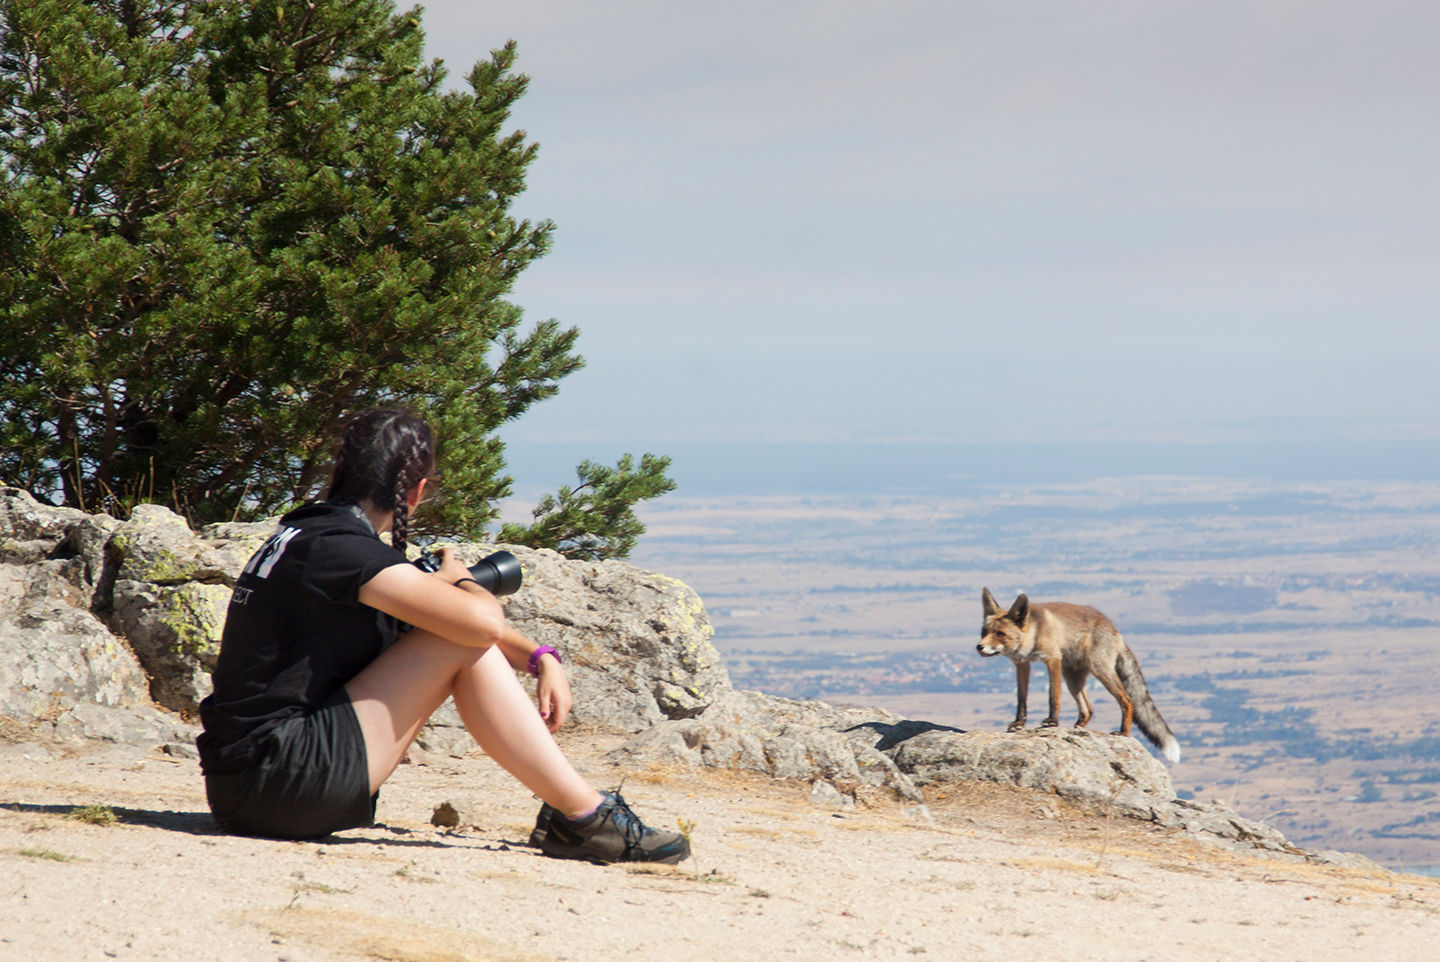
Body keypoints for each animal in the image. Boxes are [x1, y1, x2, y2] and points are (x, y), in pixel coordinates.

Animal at [979, 587, 1180, 766]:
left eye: (1000, 634)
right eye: (984, 632)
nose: (979, 647)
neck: (1033, 634)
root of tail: (1115, 630)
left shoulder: (1053, 660)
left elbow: (1054, 696)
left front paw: (1052, 721)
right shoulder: (1022, 665)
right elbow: (1022, 699)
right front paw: (1019, 723)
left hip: (1100, 671)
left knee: (1127, 701)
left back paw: (1123, 733)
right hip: (1072, 679)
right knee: (1087, 710)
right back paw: (1076, 729)